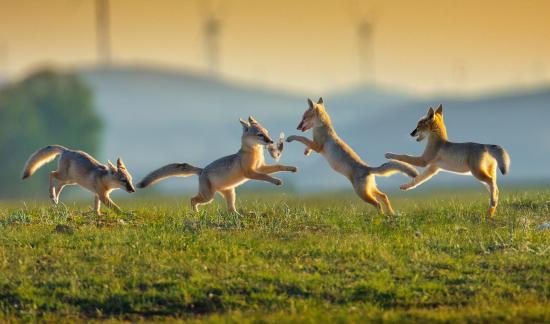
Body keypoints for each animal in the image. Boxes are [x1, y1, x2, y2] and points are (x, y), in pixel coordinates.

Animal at [138, 115, 300, 214]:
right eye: (260, 135)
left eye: (267, 133)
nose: (271, 141)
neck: (254, 153)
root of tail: (202, 170)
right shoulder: (250, 172)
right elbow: (266, 177)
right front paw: (276, 181)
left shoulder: (260, 167)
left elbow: (278, 167)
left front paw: (291, 168)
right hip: (208, 197)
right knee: (192, 199)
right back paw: (195, 214)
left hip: (230, 193)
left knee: (230, 211)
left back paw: (241, 215)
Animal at [286, 98, 420, 215]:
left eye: (303, 118)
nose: (297, 127)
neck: (323, 128)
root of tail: (368, 168)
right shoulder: (315, 145)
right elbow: (307, 144)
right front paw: (306, 152)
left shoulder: (318, 146)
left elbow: (302, 138)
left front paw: (291, 137)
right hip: (370, 190)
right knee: (384, 196)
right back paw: (391, 214)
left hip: (362, 194)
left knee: (377, 204)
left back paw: (381, 217)